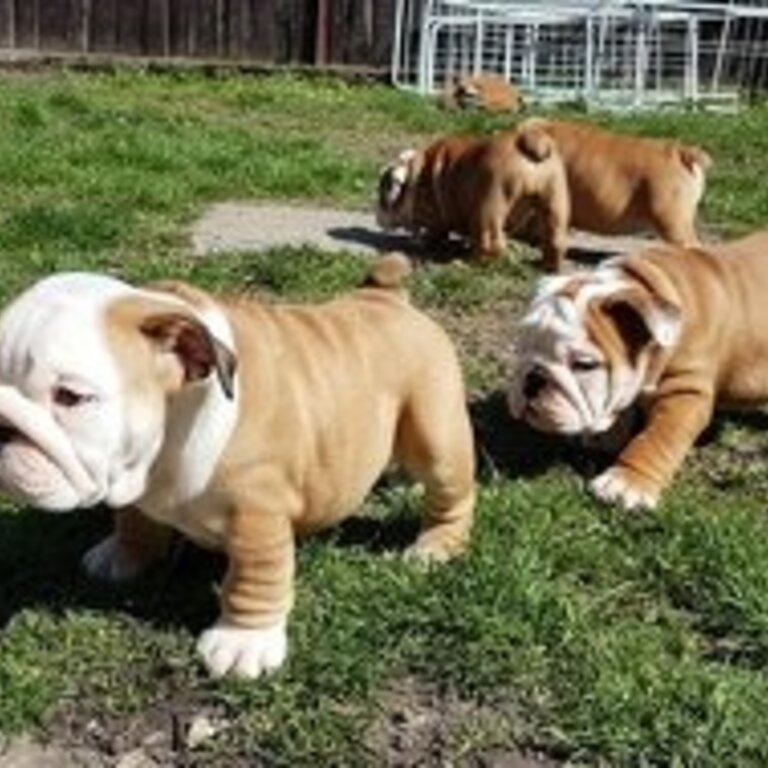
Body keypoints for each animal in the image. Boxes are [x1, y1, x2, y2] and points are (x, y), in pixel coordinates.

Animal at [0, 258, 474, 680]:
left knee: (452, 495)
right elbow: (134, 520)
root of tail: (387, 299)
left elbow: (253, 580)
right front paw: (122, 554)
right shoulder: (130, 475)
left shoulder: (255, 516)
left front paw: (243, 642)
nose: (3, 423)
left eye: (70, 397)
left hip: (436, 436)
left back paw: (434, 546)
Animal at [508, 230, 768, 510]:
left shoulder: (684, 392)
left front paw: (627, 482)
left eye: (584, 365)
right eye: (520, 348)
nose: (532, 378)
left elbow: (657, 438)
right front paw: (606, 435)